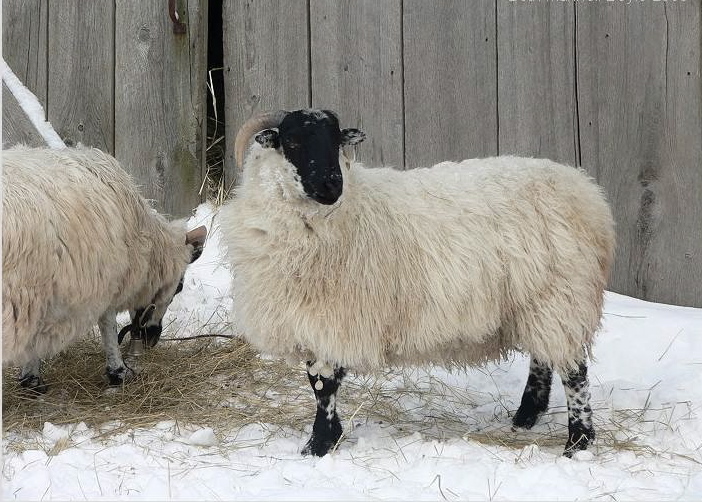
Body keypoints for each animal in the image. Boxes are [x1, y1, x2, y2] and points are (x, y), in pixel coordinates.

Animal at [2, 145, 208, 392]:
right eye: (179, 287)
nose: (152, 338)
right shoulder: (107, 278)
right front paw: (118, 372)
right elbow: (108, 326)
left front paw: (30, 379)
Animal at [220, 110, 616, 458]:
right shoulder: (309, 317)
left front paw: (319, 445)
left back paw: (578, 442)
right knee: (544, 357)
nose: (333, 184)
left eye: (336, 140)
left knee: (575, 373)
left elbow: (325, 386)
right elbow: (317, 382)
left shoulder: (335, 318)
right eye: (292, 141)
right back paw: (526, 417)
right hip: (537, 299)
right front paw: (324, 441)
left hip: (561, 294)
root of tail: (585, 190)